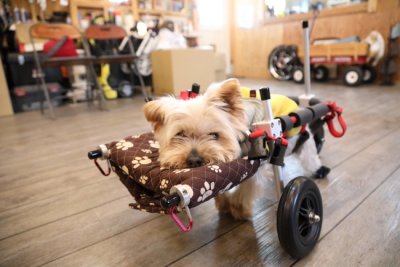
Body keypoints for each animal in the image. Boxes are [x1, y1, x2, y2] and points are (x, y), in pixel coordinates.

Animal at [144, 79, 328, 222]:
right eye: (180, 135)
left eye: (214, 135)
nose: (194, 160)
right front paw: (223, 203)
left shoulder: (257, 165)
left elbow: (247, 187)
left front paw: (238, 209)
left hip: (305, 145)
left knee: (310, 158)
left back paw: (320, 170)